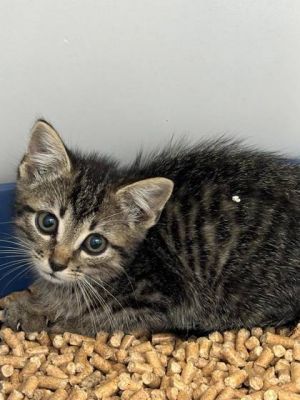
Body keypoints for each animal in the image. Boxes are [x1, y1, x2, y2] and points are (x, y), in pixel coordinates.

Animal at [2, 121, 300, 334]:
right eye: (47, 222)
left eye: (95, 243)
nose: (56, 264)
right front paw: (31, 304)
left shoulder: (157, 303)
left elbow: (95, 321)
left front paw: (48, 319)